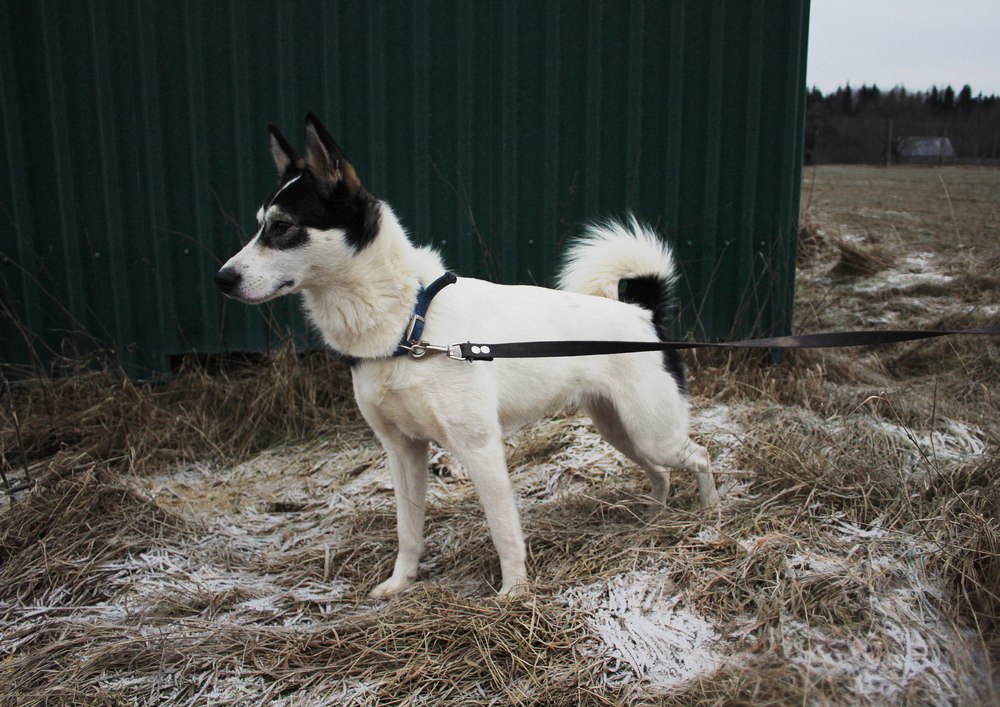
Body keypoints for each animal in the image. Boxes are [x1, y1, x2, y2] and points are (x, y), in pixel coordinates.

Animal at [217, 115, 720, 596]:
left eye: (281, 227)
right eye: (259, 223)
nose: (221, 279)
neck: (410, 322)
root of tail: (644, 313)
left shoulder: (480, 449)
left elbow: (504, 531)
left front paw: (513, 593)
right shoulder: (402, 452)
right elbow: (408, 531)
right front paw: (400, 583)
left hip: (651, 431)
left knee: (700, 456)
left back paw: (710, 513)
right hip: (620, 430)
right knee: (661, 472)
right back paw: (653, 516)